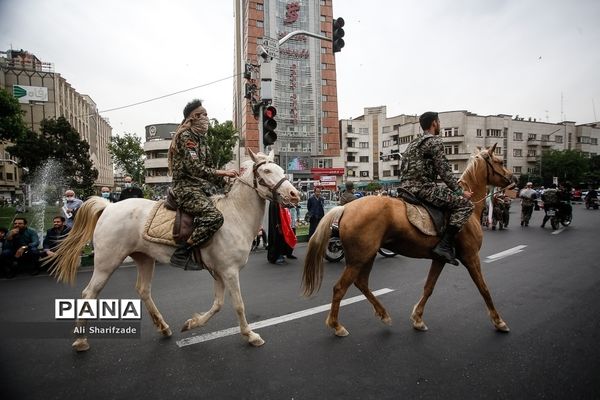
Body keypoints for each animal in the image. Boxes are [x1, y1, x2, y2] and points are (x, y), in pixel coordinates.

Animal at [49, 150, 300, 350]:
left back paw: (163, 327)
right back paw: (81, 341)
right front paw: (250, 335)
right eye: (266, 170)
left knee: (143, 290)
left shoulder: (219, 272)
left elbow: (218, 305)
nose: (295, 195)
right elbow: (238, 305)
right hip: (106, 263)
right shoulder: (229, 271)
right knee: (89, 294)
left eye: (280, 169)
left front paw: (192, 323)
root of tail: (109, 207)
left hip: (144, 258)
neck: (235, 215)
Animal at [304, 145, 516, 336]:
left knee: (362, 283)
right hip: (359, 259)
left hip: (366, 256)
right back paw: (336, 326)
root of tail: (346, 208)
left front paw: (418, 319)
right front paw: (499, 321)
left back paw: (383, 314)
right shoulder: (471, 257)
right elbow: (484, 288)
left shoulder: (440, 259)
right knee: (340, 288)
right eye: (499, 161)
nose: (514, 179)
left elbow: (429, 287)